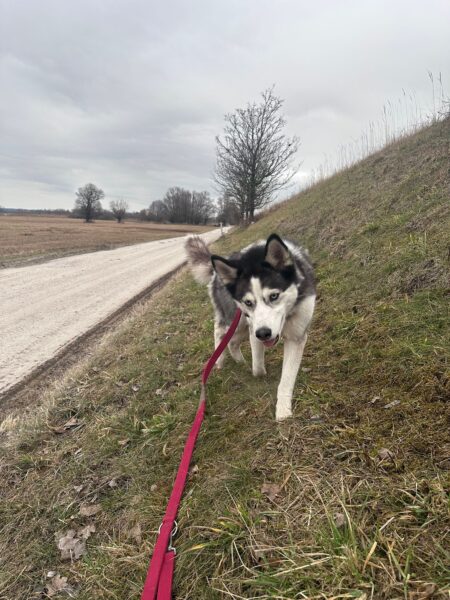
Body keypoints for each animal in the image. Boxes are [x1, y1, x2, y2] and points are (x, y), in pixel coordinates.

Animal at [185, 233, 316, 421]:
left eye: (274, 296)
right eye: (248, 302)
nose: (264, 333)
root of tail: (217, 272)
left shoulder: (296, 336)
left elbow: (287, 378)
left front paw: (283, 411)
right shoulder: (253, 328)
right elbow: (258, 366)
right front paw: (261, 374)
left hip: (241, 327)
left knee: (232, 342)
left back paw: (239, 361)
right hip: (236, 319)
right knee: (219, 330)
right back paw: (219, 360)